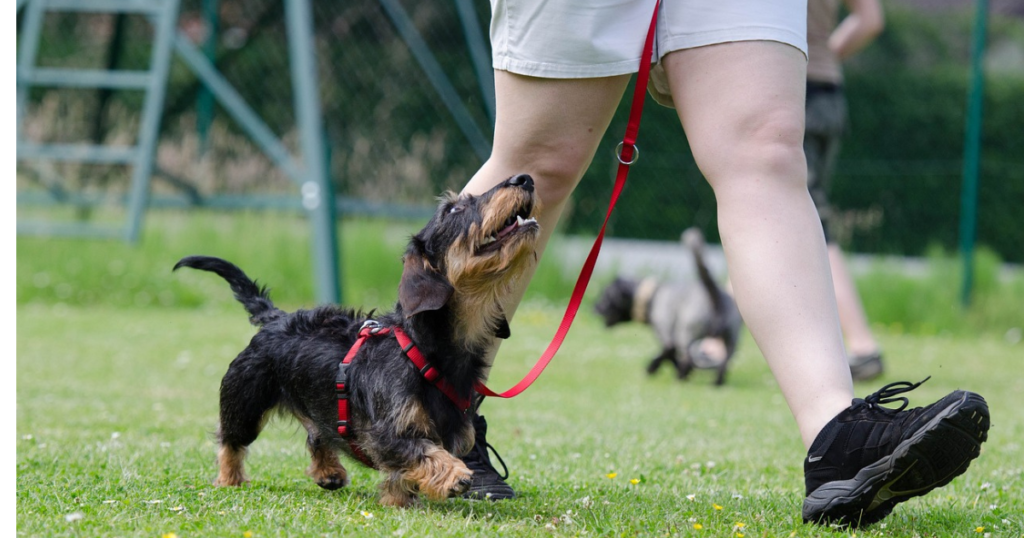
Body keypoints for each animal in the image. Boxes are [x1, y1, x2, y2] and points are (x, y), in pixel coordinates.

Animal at [174, 174, 544, 506]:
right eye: (454, 209)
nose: (524, 178)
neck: (424, 350)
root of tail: (276, 317)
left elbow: (404, 472)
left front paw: (398, 499)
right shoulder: (385, 434)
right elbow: (423, 452)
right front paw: (453, 475)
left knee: (317, 434)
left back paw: (328, 472)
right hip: (244, 402)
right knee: (230, 441)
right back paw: (229, 479)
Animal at [593, 228, 745, 383]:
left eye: (605, 297)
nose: (594, 307)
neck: (651, 296)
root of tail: (715, 295)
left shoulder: (667, 336)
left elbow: (668, 354)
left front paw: (652, 368)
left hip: (686, 334)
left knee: (688, 357)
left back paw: (680, 376)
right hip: (731, 339)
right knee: (724, 362)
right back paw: (716, 382)